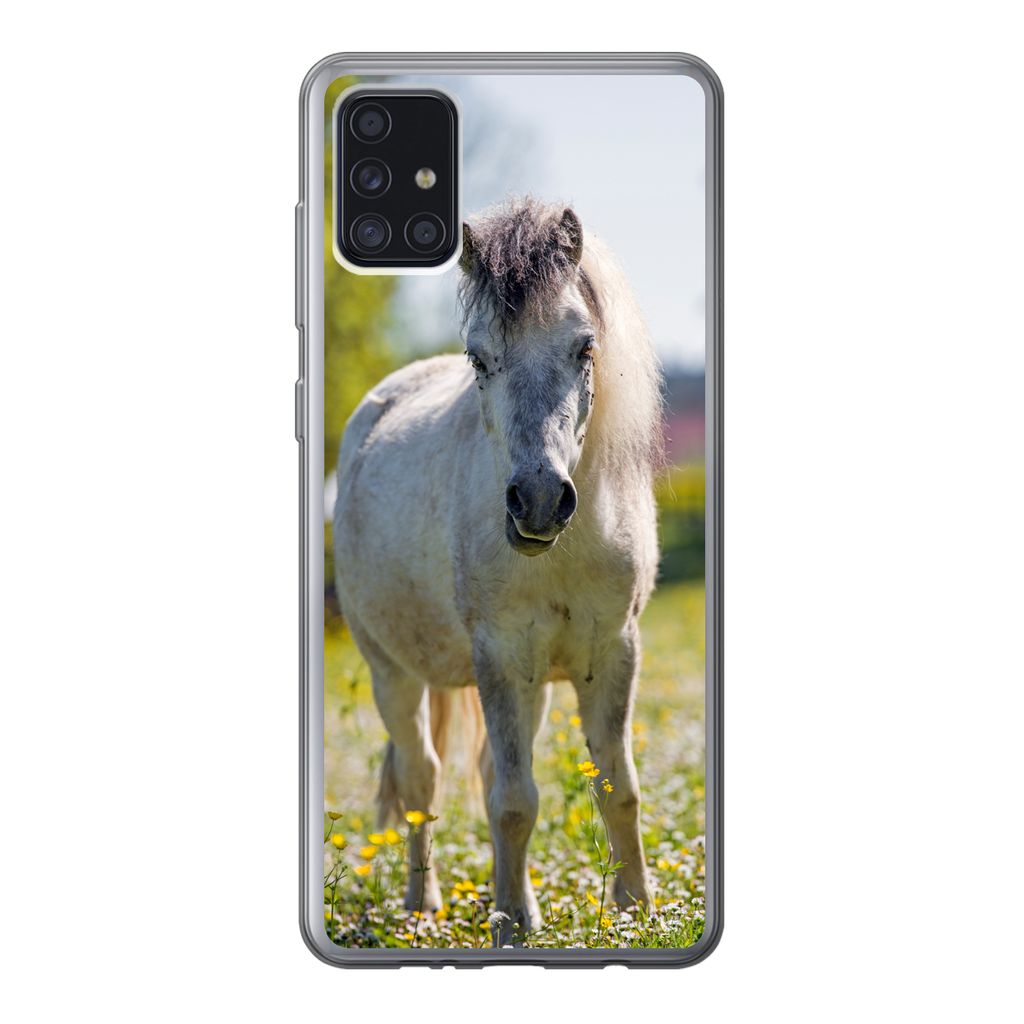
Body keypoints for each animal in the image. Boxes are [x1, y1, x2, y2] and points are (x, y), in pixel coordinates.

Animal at [333, 196, 662, 945]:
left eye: (585, 347)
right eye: (478, 358)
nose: (538, 501)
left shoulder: (613, 651)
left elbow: (619, 788)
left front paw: (636, 913)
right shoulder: (501, 659)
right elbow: (515, 801)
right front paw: (511, 926)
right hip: (392, 673)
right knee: (422, 779)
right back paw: (421, 906)